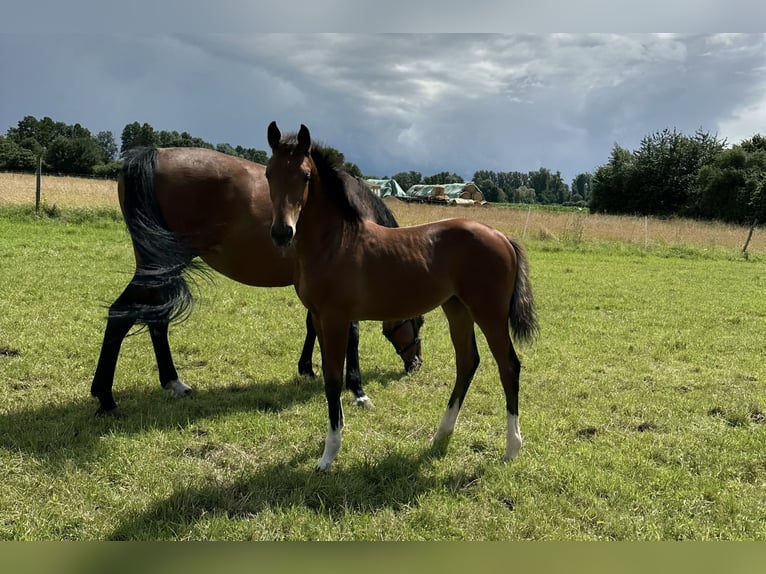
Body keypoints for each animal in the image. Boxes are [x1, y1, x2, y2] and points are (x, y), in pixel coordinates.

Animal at [93, 147, 426, 418]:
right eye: (419, 321)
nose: (417, 363)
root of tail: (155, 153)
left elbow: (312, 325)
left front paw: (307, 368)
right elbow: (351, 334)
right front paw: (357, 389)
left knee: (156, 321)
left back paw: (173, 382)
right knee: (120, 314)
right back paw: (106, 399)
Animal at [268, 122, 544, 472]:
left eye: (305, 176)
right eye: (268, 173)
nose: (281, 232)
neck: (336, 242)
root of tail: (503, 238)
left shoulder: (335, 318)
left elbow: (332, 379)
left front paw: (328, 455)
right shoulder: (318, 317)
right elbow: (328, 376)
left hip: (490, 314)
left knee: (508, 367)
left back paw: (511, 448)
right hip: (457, 310)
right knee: (467, 362)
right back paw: (441, 435)